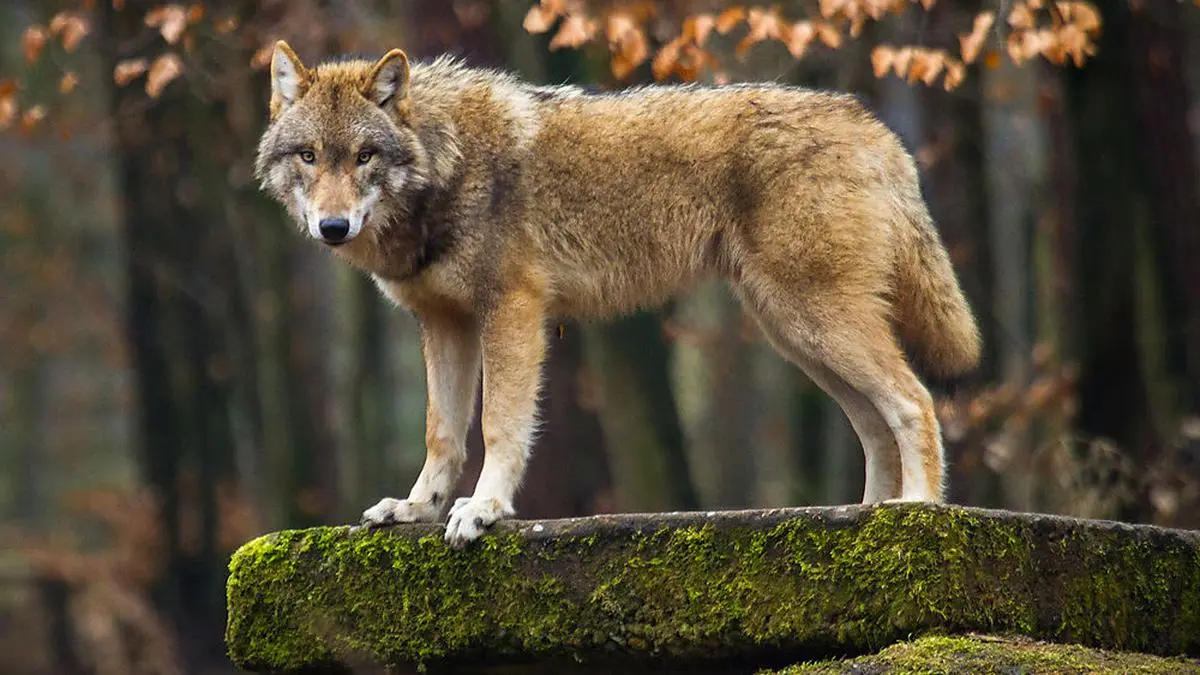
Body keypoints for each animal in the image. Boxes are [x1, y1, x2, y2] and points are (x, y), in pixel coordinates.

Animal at [255, 41, 981, 549]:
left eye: (364, 156)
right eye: (309, 156)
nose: (332, 227)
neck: (446, 163)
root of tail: (875, 127)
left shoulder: (512, 311)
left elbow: (498, 426)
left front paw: (483, 509)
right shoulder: (444, 324)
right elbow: (441, 433)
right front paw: (416, 509)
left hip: (814, 322)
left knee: (914, 401)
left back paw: (918, 511)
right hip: (797, 334)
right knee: (874, 422)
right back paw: (864, 515)